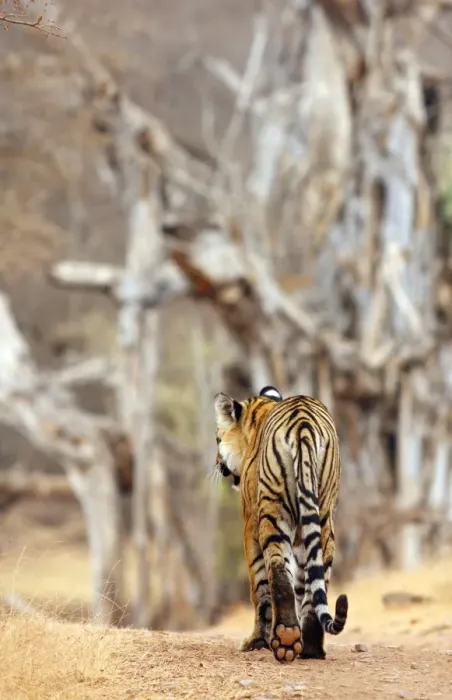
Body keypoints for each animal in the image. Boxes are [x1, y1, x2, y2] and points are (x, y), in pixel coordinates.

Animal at [214, 385, 348, 663]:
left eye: (218, 439)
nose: (217, 464)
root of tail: (303, 424)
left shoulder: (250, 525)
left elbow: (260, 586)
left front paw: (256, 642)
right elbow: (302, 582)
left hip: (273, 513)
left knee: (276, 569)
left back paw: (285, 637)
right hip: (323, 515)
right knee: (318, 575)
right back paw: (310, 648)